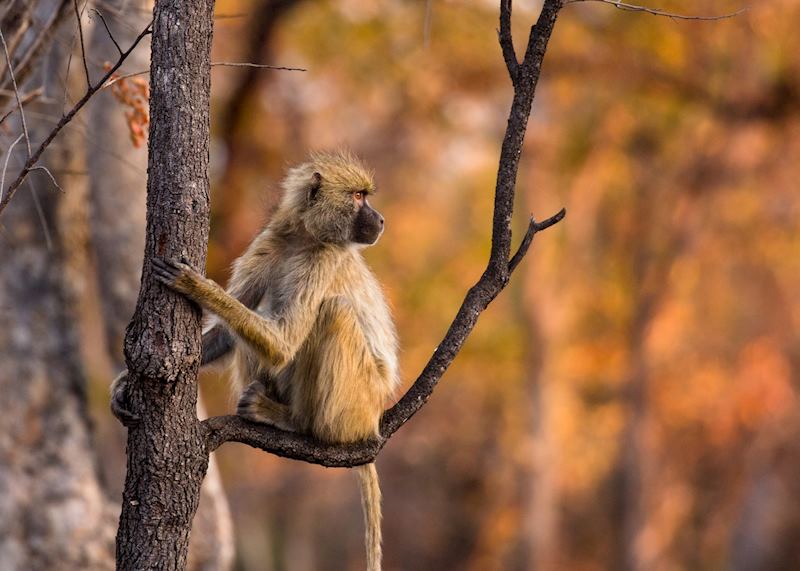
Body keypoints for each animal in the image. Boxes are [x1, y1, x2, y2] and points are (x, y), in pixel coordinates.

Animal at [112, 151, 399, 571]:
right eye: (359, 196)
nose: (380, 220)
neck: (303, 238)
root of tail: (374, 420)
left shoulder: (325, 259)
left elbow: (283, 343)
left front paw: (195, 286)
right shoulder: (268, 244)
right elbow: (227, 334)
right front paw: (124, 385)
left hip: (361, 401)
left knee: (334, 312)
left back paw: (297, 423)